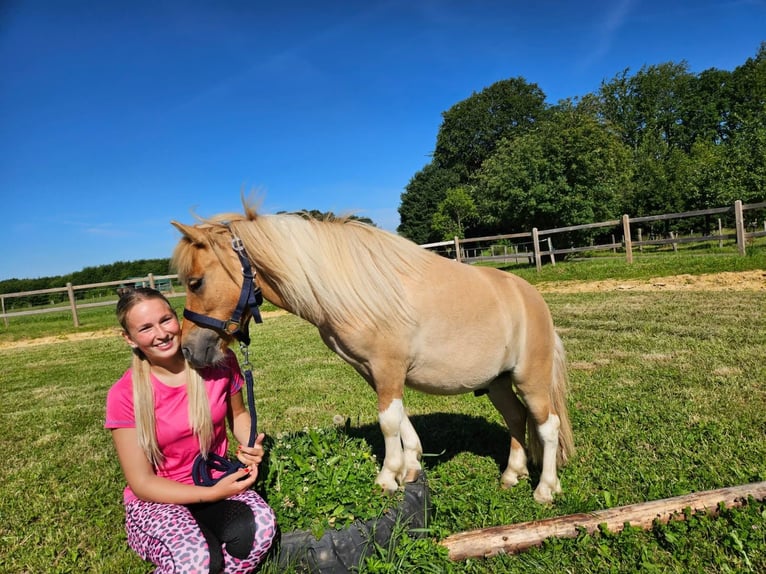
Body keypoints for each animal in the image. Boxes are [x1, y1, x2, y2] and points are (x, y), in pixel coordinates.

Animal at [171, 204, 575, 504]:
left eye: (196, 282)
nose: (189, 349)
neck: (352, 292)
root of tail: (533, 300)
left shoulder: (388, 368)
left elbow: (388, 422)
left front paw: (387, 477)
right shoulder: (374, 372)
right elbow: (399, 417)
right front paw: (410, 467)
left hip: (531, 379)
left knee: (548, 426)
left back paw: (545, 489)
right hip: (498, 382)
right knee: (516, 419)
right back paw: (511, 474)